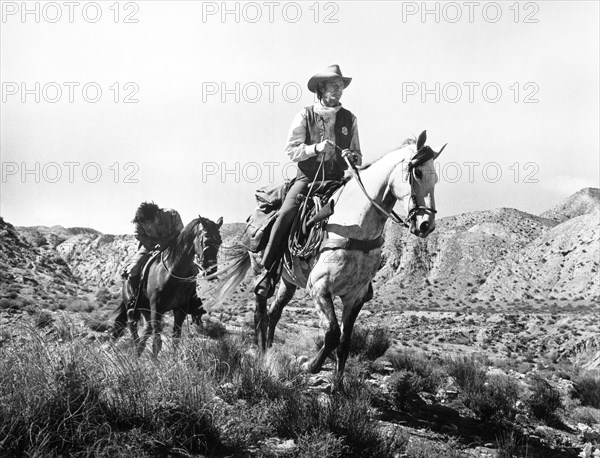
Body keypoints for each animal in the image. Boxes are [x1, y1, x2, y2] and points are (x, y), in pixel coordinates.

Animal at [112, 216, 223, 356]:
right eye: (206, 238)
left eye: (220, 240)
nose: (211, 271)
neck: (172, 271)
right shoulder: (156, 308)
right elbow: (157, 343)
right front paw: (155, 362)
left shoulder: (180, 310)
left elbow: (175, 340)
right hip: (132, 309)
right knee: (133, 328)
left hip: (146, 310)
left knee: (145, 333)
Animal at [216, 130, 446, 382]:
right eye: (418, 173)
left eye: (436, 179)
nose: (426, 225)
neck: (355, 226)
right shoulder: (319, 289)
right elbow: (333, 334)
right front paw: (309, 365)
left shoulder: (355, 297)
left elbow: (345, 341)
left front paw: (338, 386)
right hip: (261, 269)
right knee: (261, 311)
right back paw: (261, 353)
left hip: (289, 281)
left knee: (274, 312)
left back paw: (269, 350)